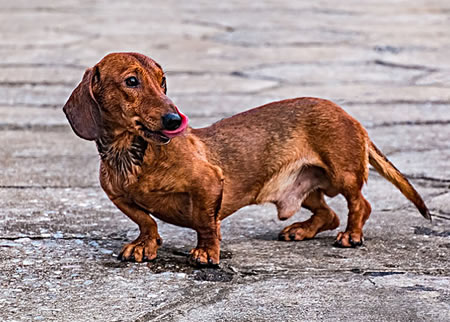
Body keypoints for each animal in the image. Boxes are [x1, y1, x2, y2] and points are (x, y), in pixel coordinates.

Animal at [61, 52, 430, 264]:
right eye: (131, 81)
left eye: (163, 82)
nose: (175, 120)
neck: (134, 154)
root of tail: (349, 115)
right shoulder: (117, 196)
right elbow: (145, 220)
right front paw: (145, 245)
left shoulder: (209, 183)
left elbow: (206, 223)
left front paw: (207, 252)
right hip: (306, 189)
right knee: (328, 213)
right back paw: (301, 230)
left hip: (343, 174)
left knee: (359, 205)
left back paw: (352, 235)